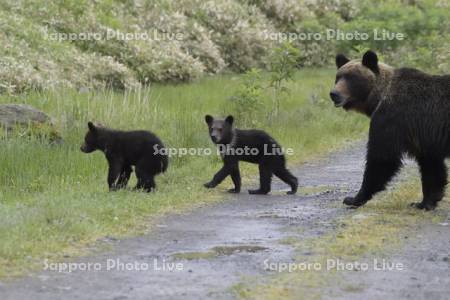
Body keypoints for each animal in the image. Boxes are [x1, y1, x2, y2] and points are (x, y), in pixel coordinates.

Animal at [328, 50, 448, 210]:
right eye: (338, 77)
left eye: (351, 78)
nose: (334, 94)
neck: (377, 98)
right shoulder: (423, 137)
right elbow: (431, 166)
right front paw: (423, 202)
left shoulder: (391, 118)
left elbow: (382, 158)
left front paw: (353, 198)